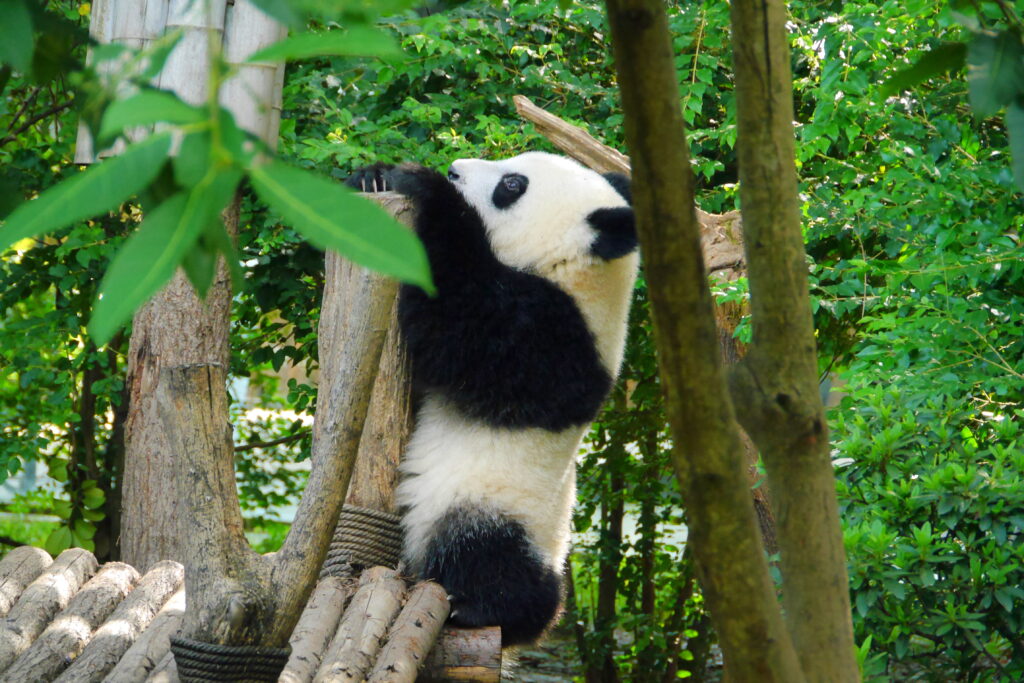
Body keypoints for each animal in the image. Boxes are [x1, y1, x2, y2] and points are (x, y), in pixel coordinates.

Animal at [348, 152, 639, 646]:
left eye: (513, 184)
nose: (454, 169)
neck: (569, 272)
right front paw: (373, 177)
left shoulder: (555, 339)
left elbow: (461, 327)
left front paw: (430, 190)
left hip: (498, 508)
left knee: (490, 556)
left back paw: (479, 606)